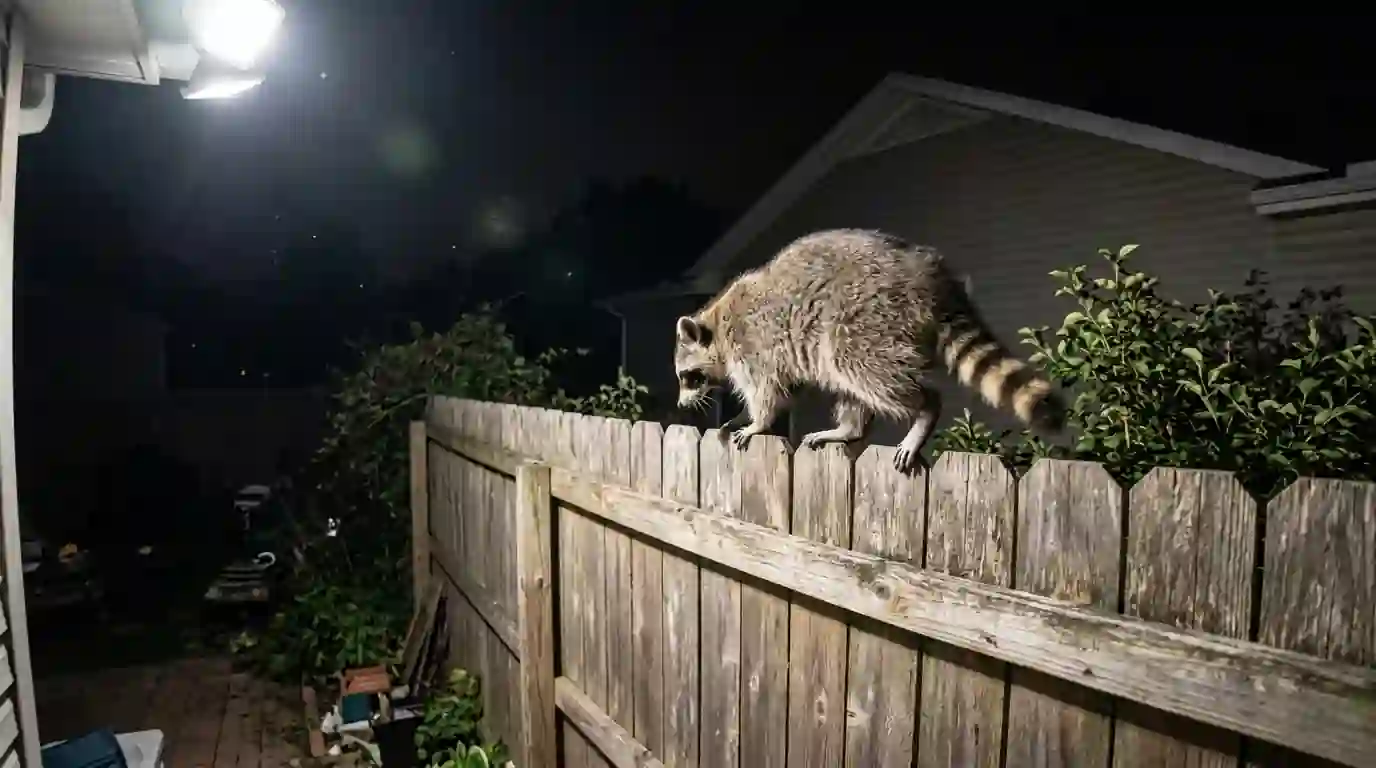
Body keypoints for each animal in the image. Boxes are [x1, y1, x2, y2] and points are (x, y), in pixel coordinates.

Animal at [673, 228, 1065, 471]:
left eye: (688, 377)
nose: (681, 405)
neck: (717, 327)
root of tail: (935, 279)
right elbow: (790, 388)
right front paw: (741, 417)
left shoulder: (753, 345)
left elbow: (769, 392)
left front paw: (756, 422)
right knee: (849, 385)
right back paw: (848, 429)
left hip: (870, 316)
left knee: (861, 367)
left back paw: (925, 409)